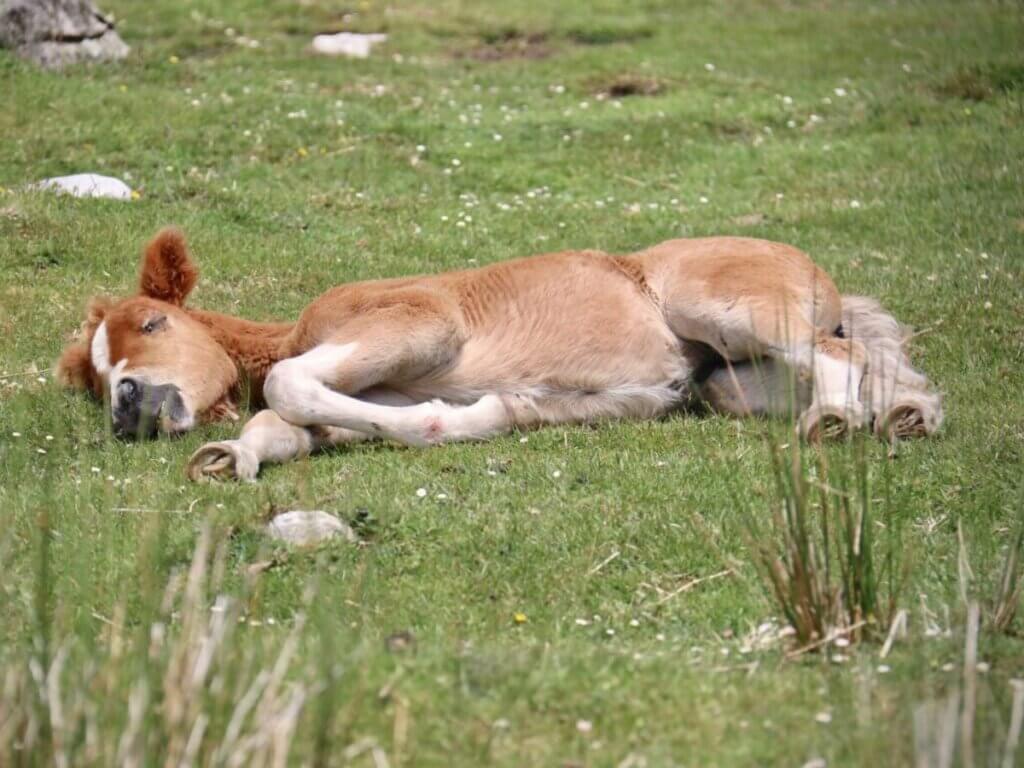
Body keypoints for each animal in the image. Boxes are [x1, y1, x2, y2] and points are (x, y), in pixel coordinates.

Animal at [56, 228, 942, 481]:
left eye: (152, 324)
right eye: (97, 377)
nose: (126, 408)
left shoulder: (418, 324)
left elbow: (283, 382)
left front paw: (457, 418)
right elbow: (284, 423)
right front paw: (229, 457)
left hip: (727, 309)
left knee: (834, 359)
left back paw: (837, 422)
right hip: (729, 381)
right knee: (871, 363)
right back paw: (907, 415)